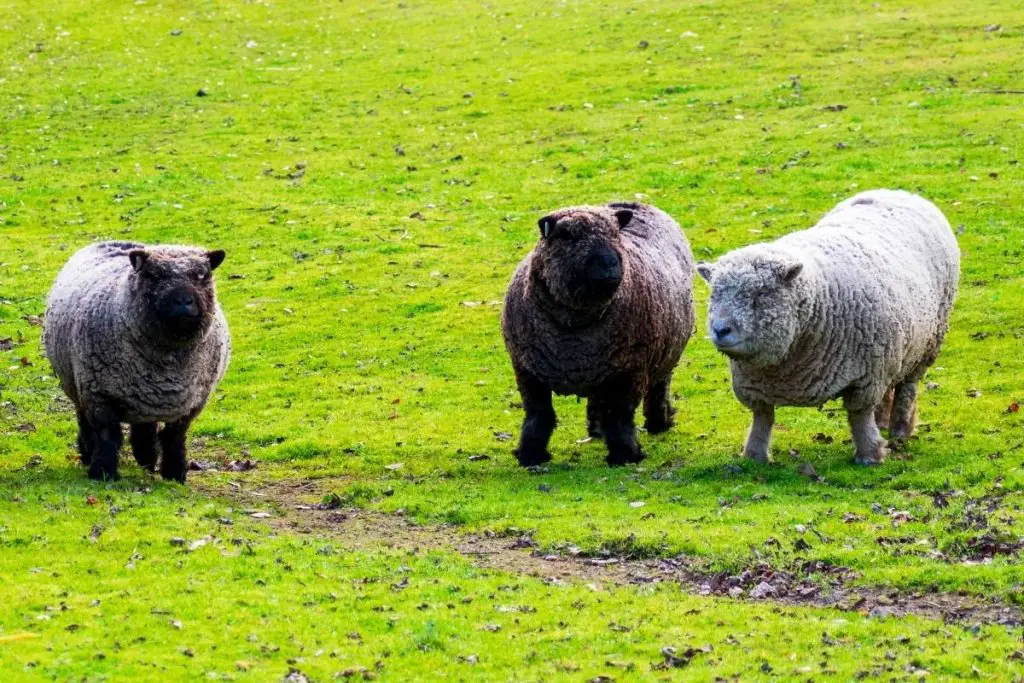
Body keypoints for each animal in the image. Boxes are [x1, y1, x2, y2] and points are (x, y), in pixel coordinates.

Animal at [43, 242, 230, 483]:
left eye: (202, 275)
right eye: (153, 275)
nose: (183, 302)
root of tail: (114, 242)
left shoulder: (193, 401)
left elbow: (174, 436)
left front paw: (175, 473)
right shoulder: (98, 394)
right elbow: (107, 434)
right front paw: (103, 472)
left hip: (144, 396)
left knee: (145, 427)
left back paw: (147, 459)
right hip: (77, 383)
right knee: (85, 420)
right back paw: (88, 453)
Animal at [501, 202, 696, 466]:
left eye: (615, 234)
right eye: (566, 235)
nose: (608, 263)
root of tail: (628, 203)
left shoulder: (630, 370)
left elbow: (619, 415)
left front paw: (625, 454)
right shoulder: (527, 371)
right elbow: (538, 414)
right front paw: (531, 454)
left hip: (663, 356)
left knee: (658, 388)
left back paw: (659, 423)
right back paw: (597, 429)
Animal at [696, 188, 958, 464]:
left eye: (761, 294)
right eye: (714, 295)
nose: (720, 330)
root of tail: (894, 191)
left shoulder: (867, 378)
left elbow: (859, 416)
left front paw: (869, 455)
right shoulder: (752, 385)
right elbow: (763, 418)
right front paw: (754, 456)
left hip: (926, 345)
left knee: (907, 388)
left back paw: (899, 429)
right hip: (895, 350)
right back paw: (883, 422)